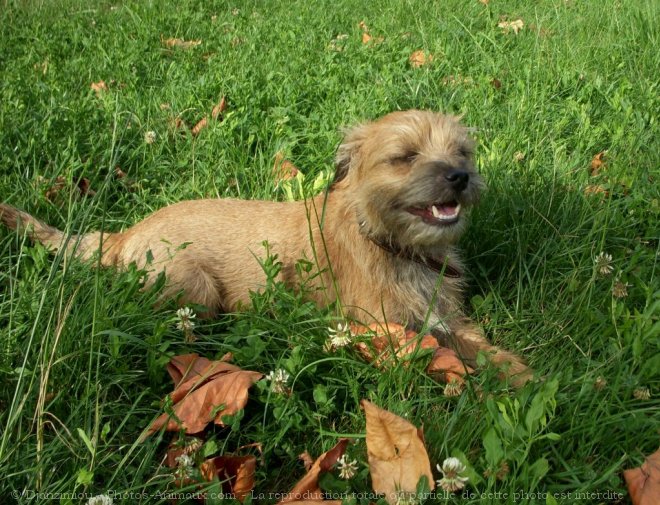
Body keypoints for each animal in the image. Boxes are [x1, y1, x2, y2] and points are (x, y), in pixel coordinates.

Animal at [1, 110, 532, 384]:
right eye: (404, 157)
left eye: (462, 152)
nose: (459, 176)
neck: (389, 242)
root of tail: (125, 234)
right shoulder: (382, 328)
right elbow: (442, 353)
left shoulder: (447, 316)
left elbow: (478, 345)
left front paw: (521, 375)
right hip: (193, 288)